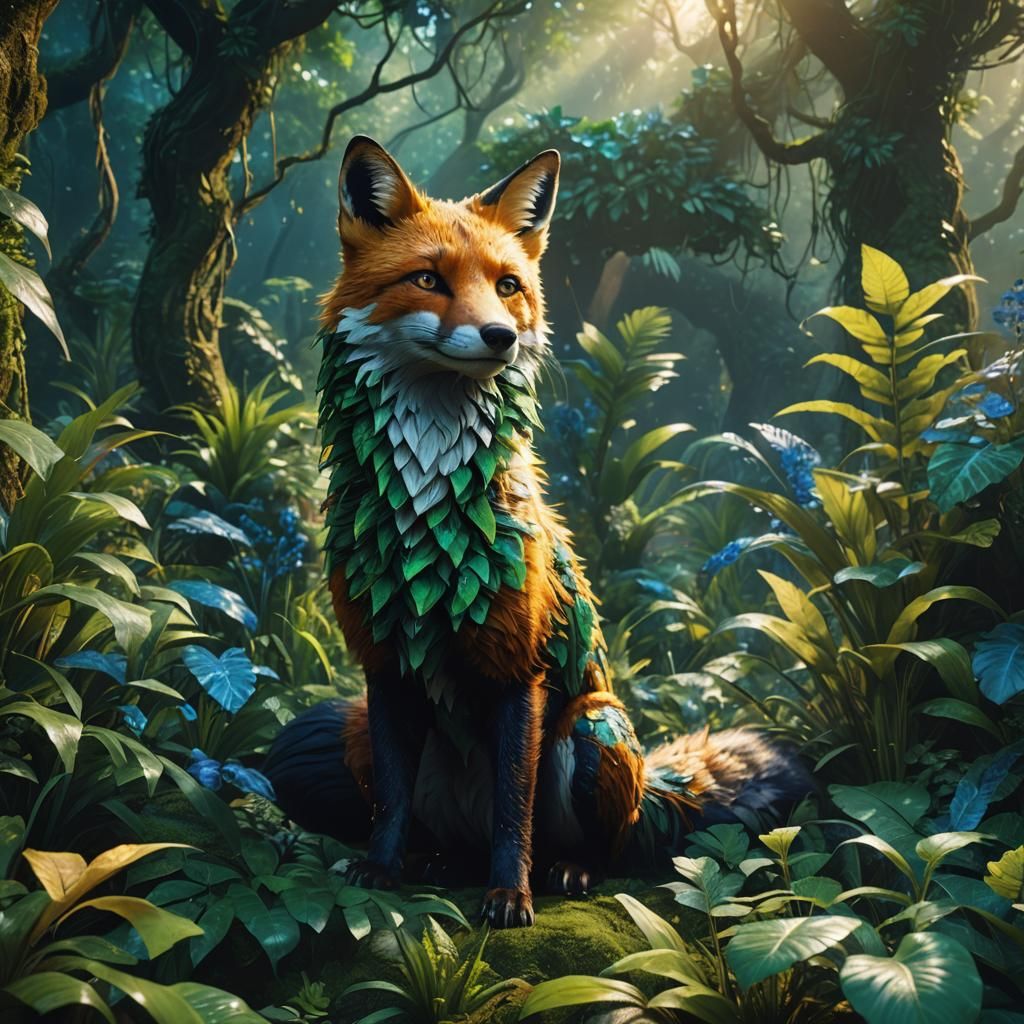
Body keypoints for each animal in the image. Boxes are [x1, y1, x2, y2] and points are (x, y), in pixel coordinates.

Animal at [265, 136, 812, 928]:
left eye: (508, 286)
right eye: (427, 279)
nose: (499, 336)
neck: (428, 514)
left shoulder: (517, 672)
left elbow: (513, 811)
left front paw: (510, 895)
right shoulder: (384, 666)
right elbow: (392, 804)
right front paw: (380, 871)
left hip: (594, 727)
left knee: (605, 846)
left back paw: (567, 872)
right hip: (341, 730)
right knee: (421, 822)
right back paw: (433, 863)